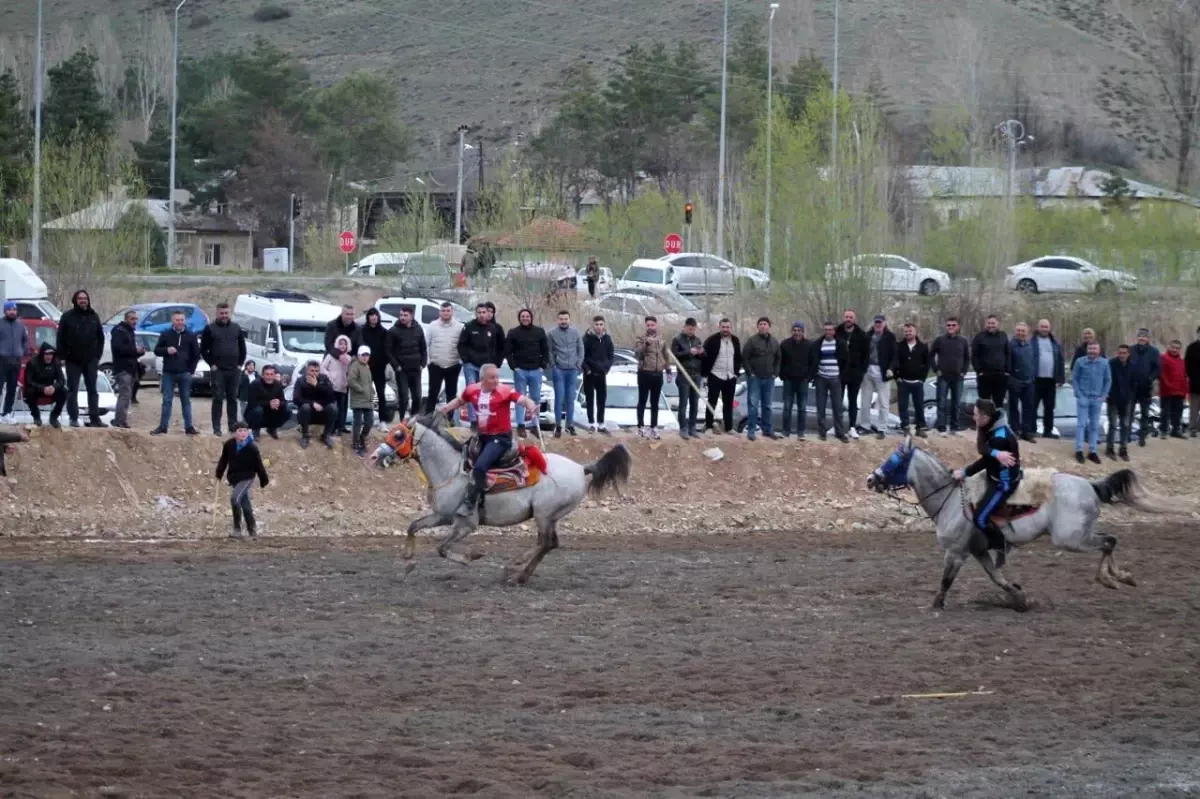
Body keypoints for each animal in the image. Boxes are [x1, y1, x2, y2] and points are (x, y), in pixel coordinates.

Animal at [369, 412, 633, 583]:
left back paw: (513, 569)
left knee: (545, 542)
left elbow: (442, 548)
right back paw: (520, 574)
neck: (451, 470)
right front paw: (407, 559)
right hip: (550, 516)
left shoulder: (465, 524)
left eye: (398, 435)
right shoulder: (441, 516)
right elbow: (414, 526)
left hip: (544, 514)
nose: (374, 457)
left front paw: (470, 557)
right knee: (550, 543)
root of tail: (580, 467)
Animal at [868, 436, 1185, 609]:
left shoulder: (956, 552)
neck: (952, 498)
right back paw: (1117, 577)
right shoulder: (978, 551)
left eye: (894, 460)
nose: (871, 479)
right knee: (1109, 540)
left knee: (1109, 541)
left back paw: (1112, 578)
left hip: (1071, 539)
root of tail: (1091, 485)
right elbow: (998, 577)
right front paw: (1019, 598)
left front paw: (935, 604)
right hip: (1080, 534)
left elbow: (946, 580)